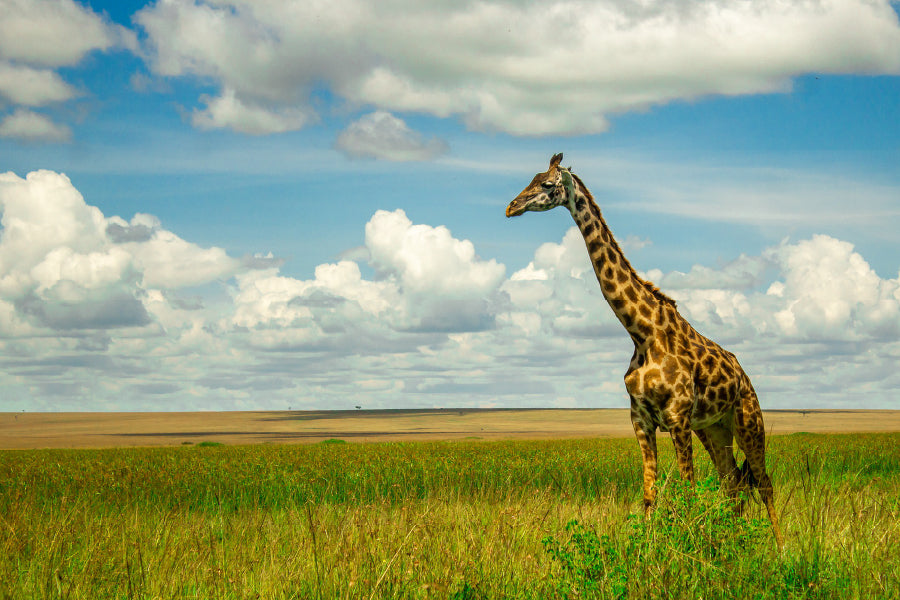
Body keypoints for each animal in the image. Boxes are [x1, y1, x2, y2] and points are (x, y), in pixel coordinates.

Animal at [510, 154, 784, 548]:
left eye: (546, 184)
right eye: (531, 178)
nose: (511, 206)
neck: (642, 332)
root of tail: (744, 376)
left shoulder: (678, 416)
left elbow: (687, 489)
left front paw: (689, 548)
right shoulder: (640, 419)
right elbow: (650, 494)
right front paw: (650, 549)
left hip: (748, 419)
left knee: (762, 482)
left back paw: (780, 546)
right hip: (714, 428)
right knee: (731, 480)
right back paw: (736, 540)